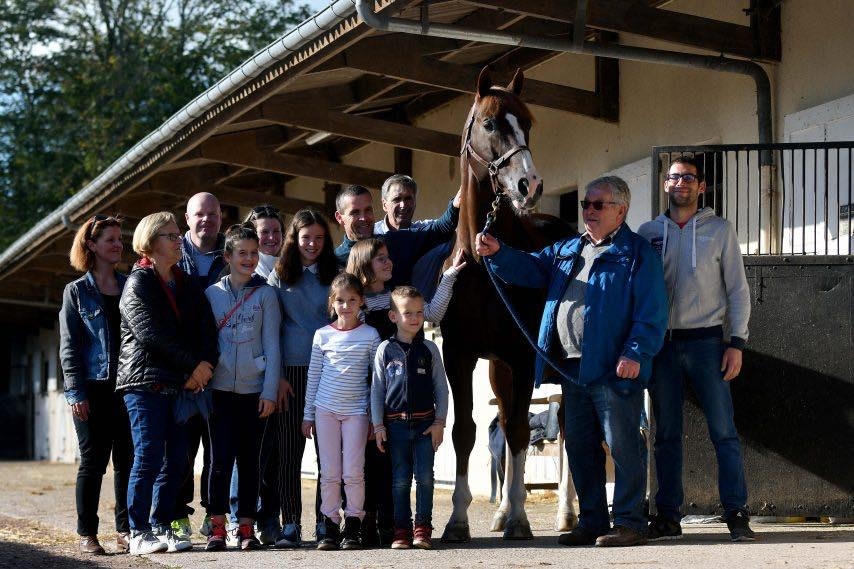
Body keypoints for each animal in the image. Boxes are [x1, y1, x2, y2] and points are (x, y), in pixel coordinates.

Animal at [444, 66, 580, 540]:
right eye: (489, 124)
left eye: (528, 124)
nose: (529, 185)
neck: (484, 264)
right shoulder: (460, 356)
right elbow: (466, 432)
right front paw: (458, 521)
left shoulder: (523, 357)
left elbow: (522, 432)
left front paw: (521, 519)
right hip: (498, 368)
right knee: (503, 422)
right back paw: (502, 510)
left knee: (568, 427)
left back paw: (566, 515)